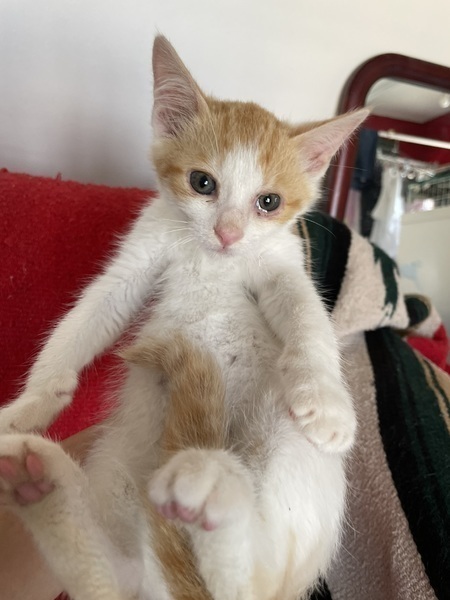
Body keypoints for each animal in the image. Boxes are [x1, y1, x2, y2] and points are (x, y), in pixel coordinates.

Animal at [0, 35, 368, 599]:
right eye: (202, 183)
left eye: (269, 202)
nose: (228, 233)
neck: (212, 259)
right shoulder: (138, 259)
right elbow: (89, 315)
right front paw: (31, 404)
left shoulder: (282, 267)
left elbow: (307, 318)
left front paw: (328, 403)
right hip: (120, 463)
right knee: (116, 576)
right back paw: (36, 478)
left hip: (289, 458)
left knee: (248, 581)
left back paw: (212, 486)